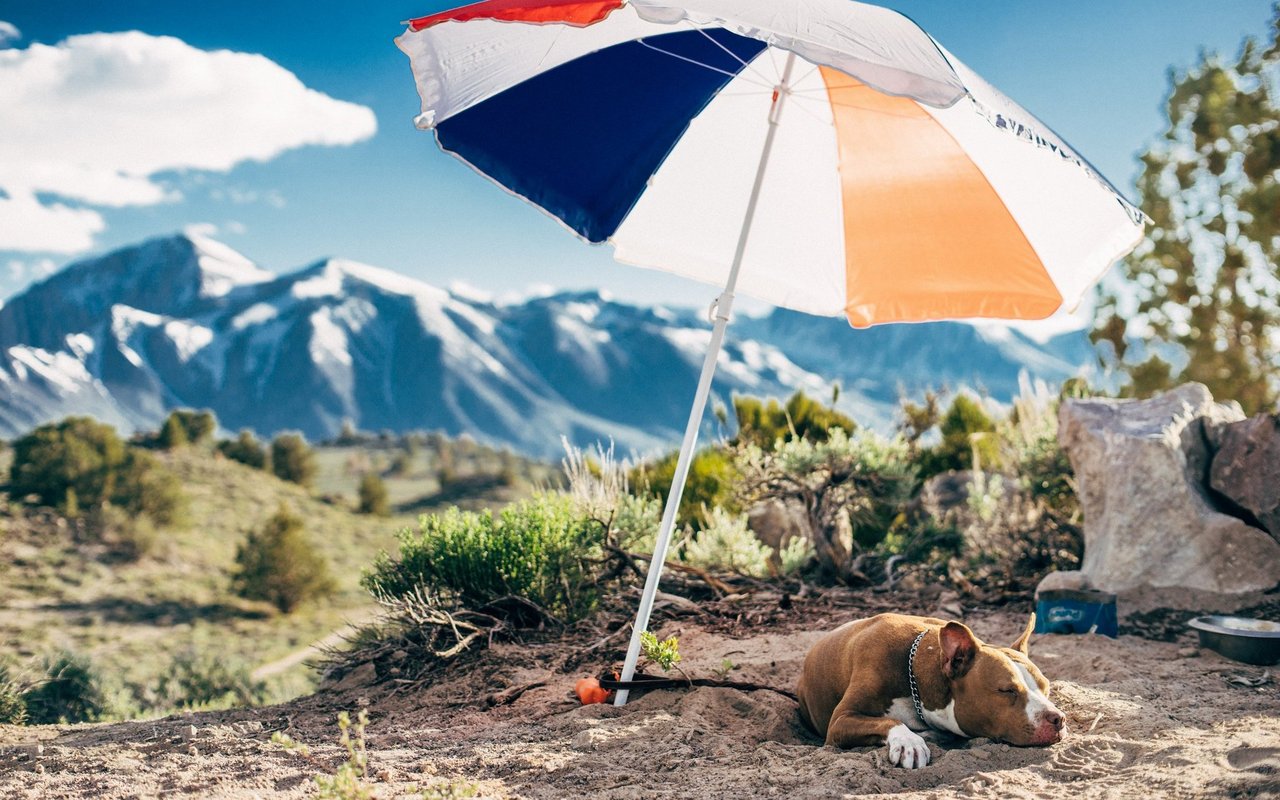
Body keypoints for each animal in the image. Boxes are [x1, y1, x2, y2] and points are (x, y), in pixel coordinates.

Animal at [798, 611, 1059, 768]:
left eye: (1046, 688)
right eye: (1007, 690)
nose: (1059, 719)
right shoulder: (840, 721)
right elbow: (888, 721)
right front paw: (909, 742)